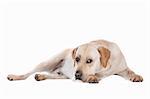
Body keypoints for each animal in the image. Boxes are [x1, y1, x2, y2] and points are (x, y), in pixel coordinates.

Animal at [7, 39, 143, 83]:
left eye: (89, 60)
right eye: (77, 59)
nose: (76, 74)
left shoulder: (123, 68)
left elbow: (130, 71)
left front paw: (136, 76)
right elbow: (97, 75)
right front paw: (93, 77)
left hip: (62, 75)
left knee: (55, 76)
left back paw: (41, 76)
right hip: (49, 61)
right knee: (27, 74)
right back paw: (15, 76)